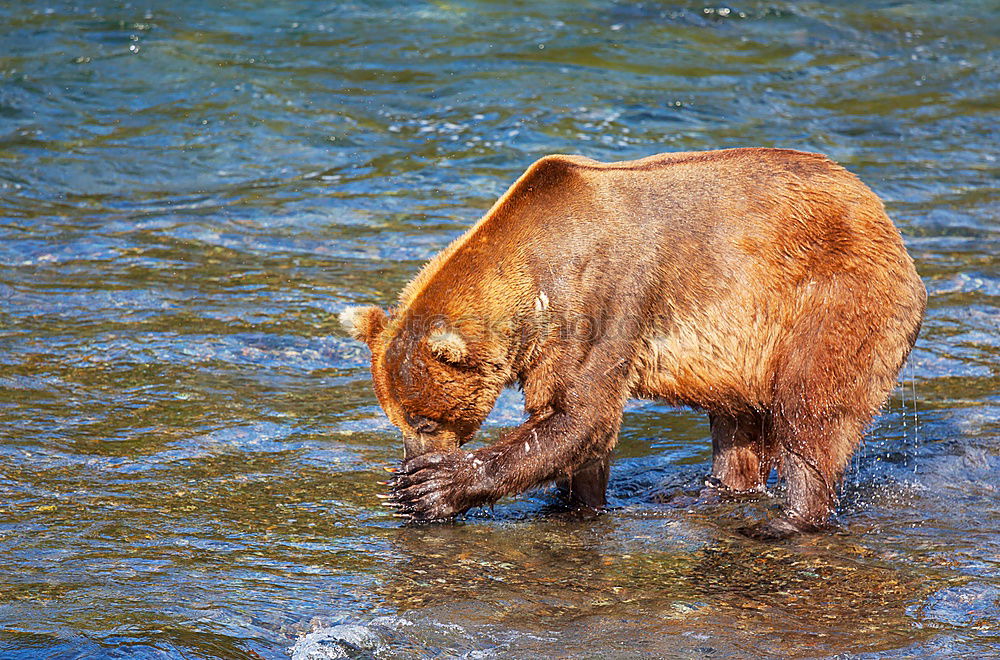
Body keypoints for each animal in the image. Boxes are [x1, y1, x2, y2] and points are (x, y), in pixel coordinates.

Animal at [340, 147, 924, 540]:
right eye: (396, 417)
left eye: (425, 421)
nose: (410, 464)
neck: (536, 273)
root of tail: (880, 211)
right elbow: (574, 431)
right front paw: (573, 504)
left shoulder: (604, 301)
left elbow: (582, 415)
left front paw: (433, 488)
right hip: (745, 346)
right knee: (736, 423)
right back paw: (710, 490)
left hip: (833, 297)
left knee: (811, 408)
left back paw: (788, 519)